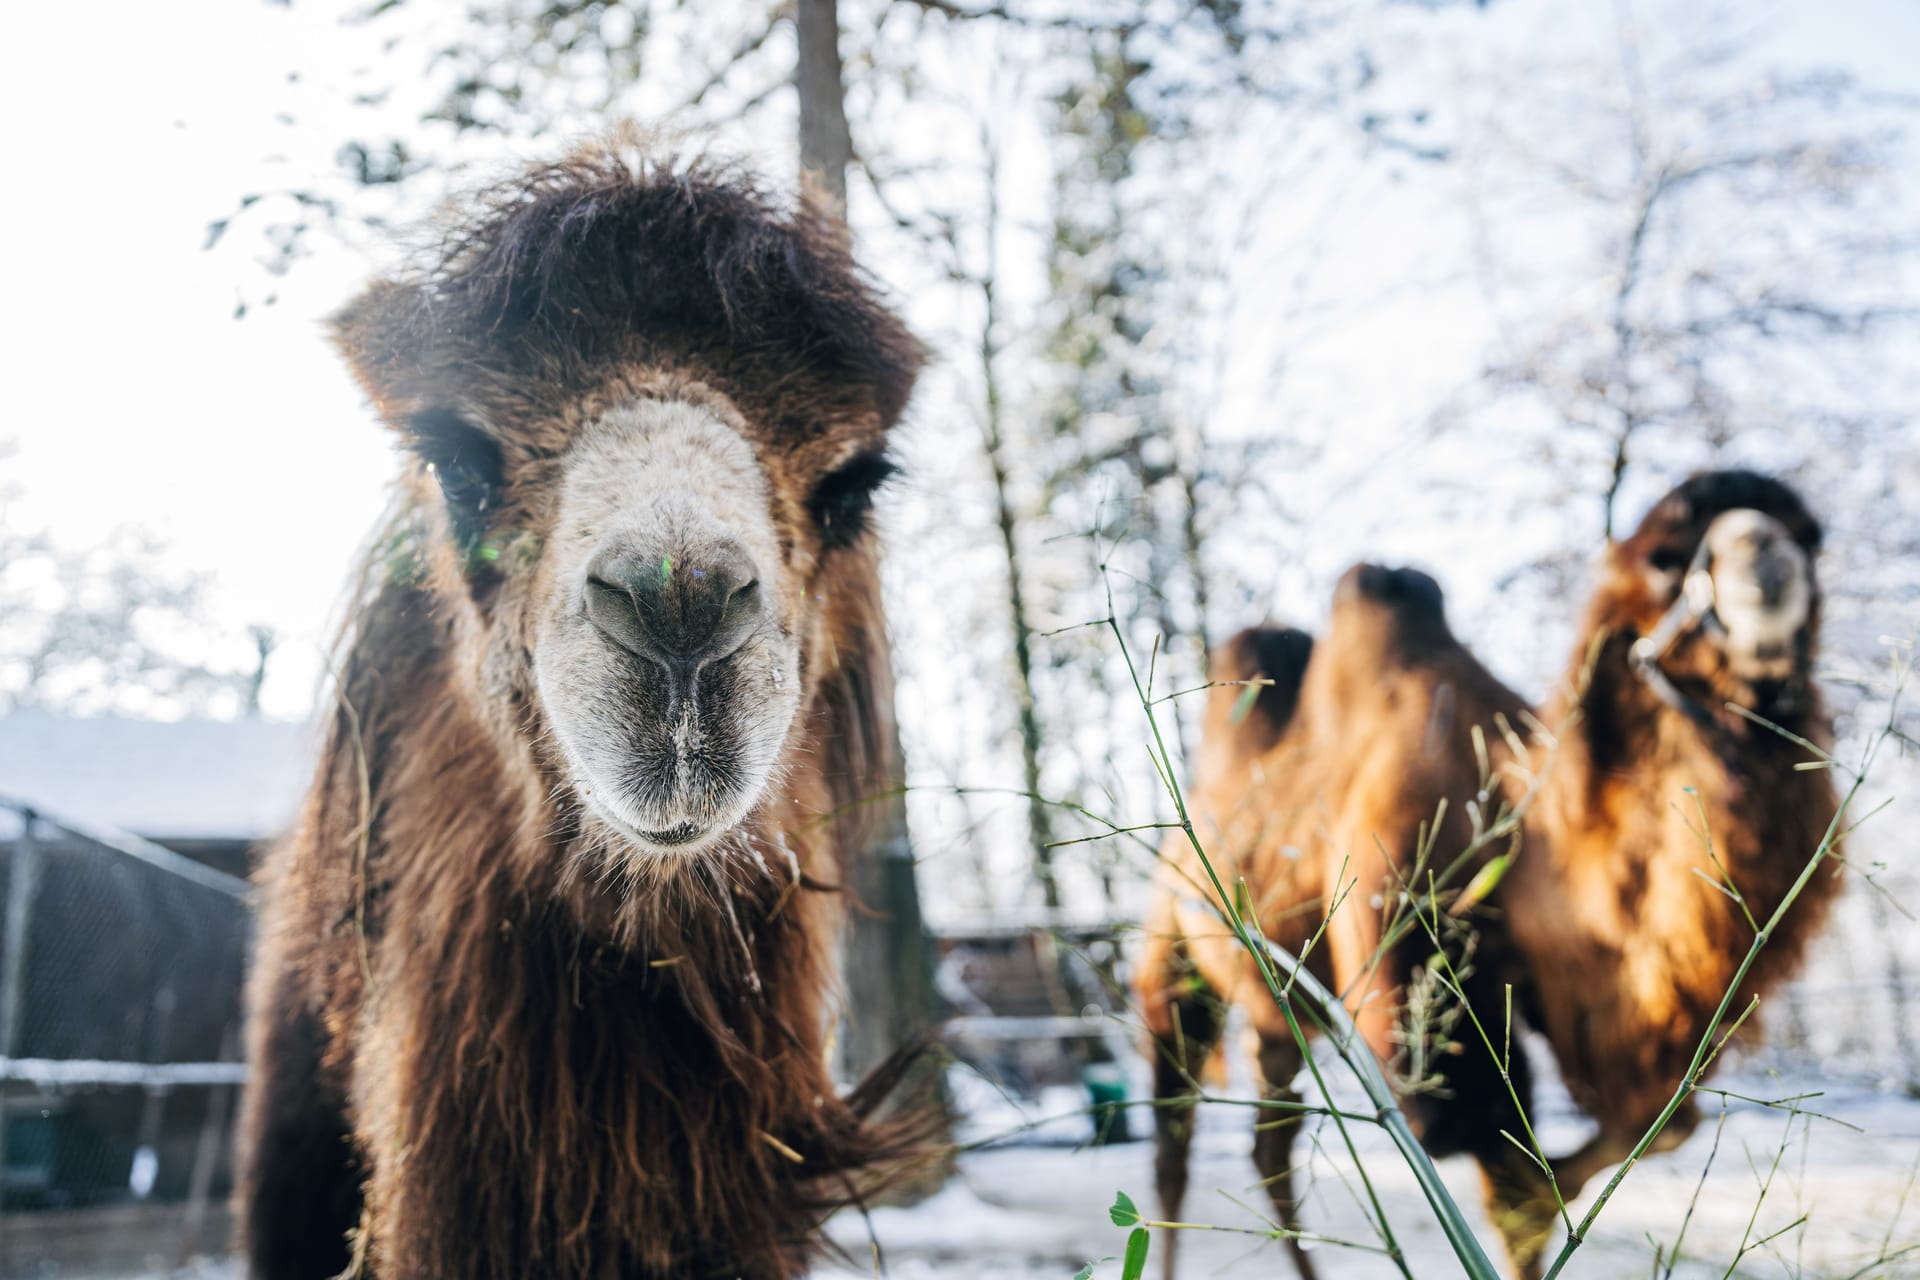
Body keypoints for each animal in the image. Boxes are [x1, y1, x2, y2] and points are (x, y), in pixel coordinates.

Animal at [1128, 470, 1835, 1280]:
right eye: (1666, 558)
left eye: (1812, 537)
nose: (1765, 552)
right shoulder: (1416, 980)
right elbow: (1498, 1167)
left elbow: (1655, 1128)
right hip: (1172, 959)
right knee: (1175, 1137)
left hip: (1281, 1008)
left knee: (1268, 1143)